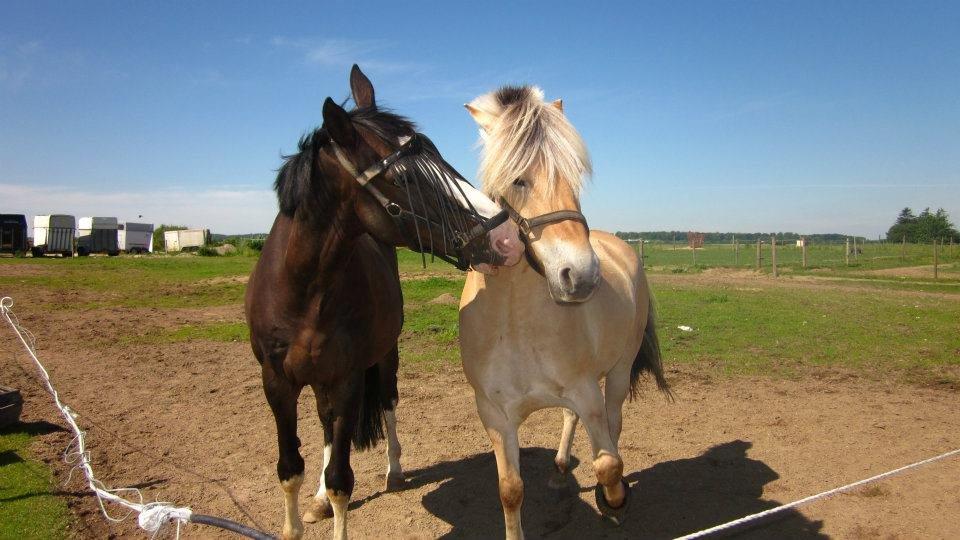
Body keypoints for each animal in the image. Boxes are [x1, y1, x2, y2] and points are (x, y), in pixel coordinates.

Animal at [244, 65, 520, 536]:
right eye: (406, 177)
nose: (508, 236)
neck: (303, 291)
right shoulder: (276, 382)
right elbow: (290, 468)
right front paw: (301, 516)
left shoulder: (348, 378)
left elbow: (341, 478)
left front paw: (336, 495)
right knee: (324, 425)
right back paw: (318, 498)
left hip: (383, 356)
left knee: (386, 402)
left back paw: (394, 471)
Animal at [462, 86, 672, 536]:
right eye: (518, 179)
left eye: (574, 176)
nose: (582, 275)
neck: (514, 323)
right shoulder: (494, 414)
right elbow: (510, 491)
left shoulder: (587, 391)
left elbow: (609, 463)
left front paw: (614, 500)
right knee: (570, 421)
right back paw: (559, 468)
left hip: (618, 371)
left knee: (613, 423)